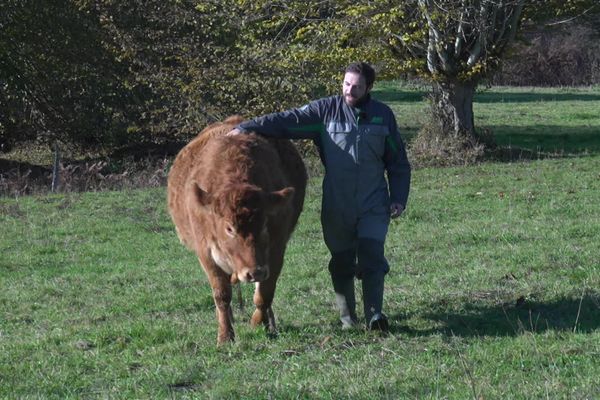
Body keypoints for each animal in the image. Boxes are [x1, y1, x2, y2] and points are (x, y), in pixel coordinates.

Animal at [166, 115, 308, 344]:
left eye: (265, 223)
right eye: (229, 229)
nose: (254, 271)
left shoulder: (276, 251)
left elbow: (264, 294)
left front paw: (261, 323)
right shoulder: (206, 254)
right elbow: (221, 295)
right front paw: (225, 335)